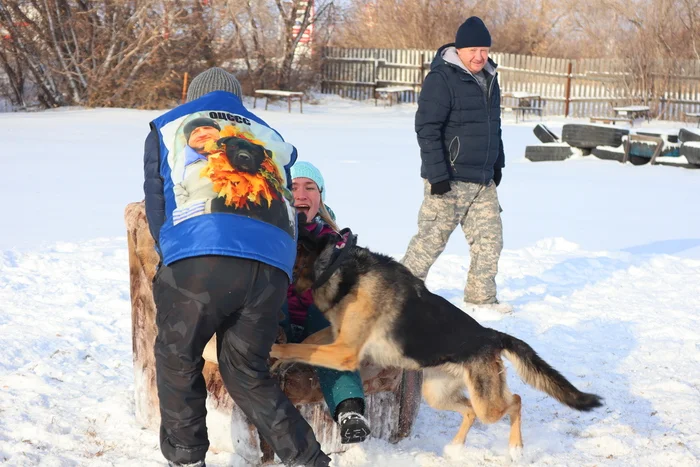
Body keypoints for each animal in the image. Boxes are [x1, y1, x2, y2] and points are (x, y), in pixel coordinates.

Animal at [268, 229, 600, 458]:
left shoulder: (344, 352)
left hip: (487, 404)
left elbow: (301, 346)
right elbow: (308, 341)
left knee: (515, 401)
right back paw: (455, 448)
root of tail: (491, 335)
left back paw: (515, 449)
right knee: (470, 411)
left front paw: (275, 350)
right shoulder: (335, 337)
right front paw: (279, 359)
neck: (337, 265)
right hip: (436, 393)